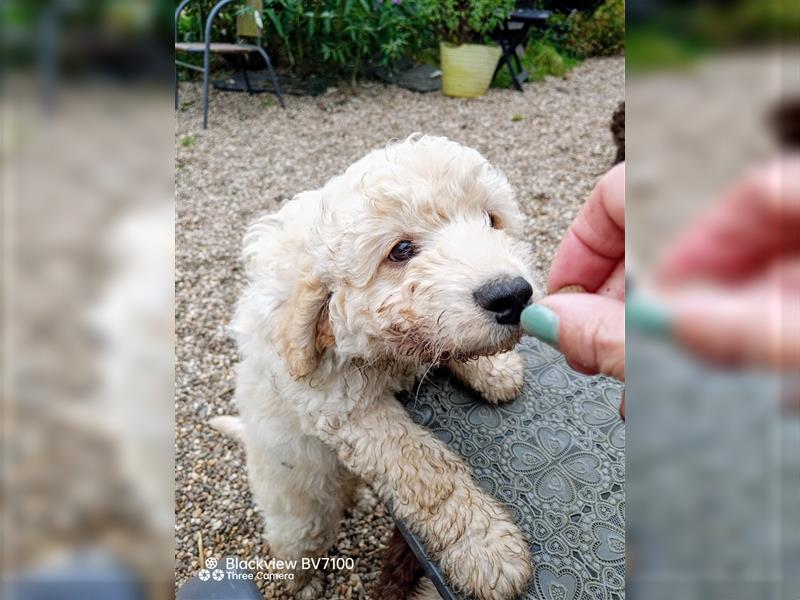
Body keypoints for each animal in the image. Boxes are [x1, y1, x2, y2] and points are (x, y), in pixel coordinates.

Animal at [217, 136, 536, 600]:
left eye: (491, 220)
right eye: (400, 251)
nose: (512, 296)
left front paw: (496, 370)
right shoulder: (347, 409)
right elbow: (426, 469)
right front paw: (486, 547)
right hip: (300, 511)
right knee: (296, 546)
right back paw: (303, 583)